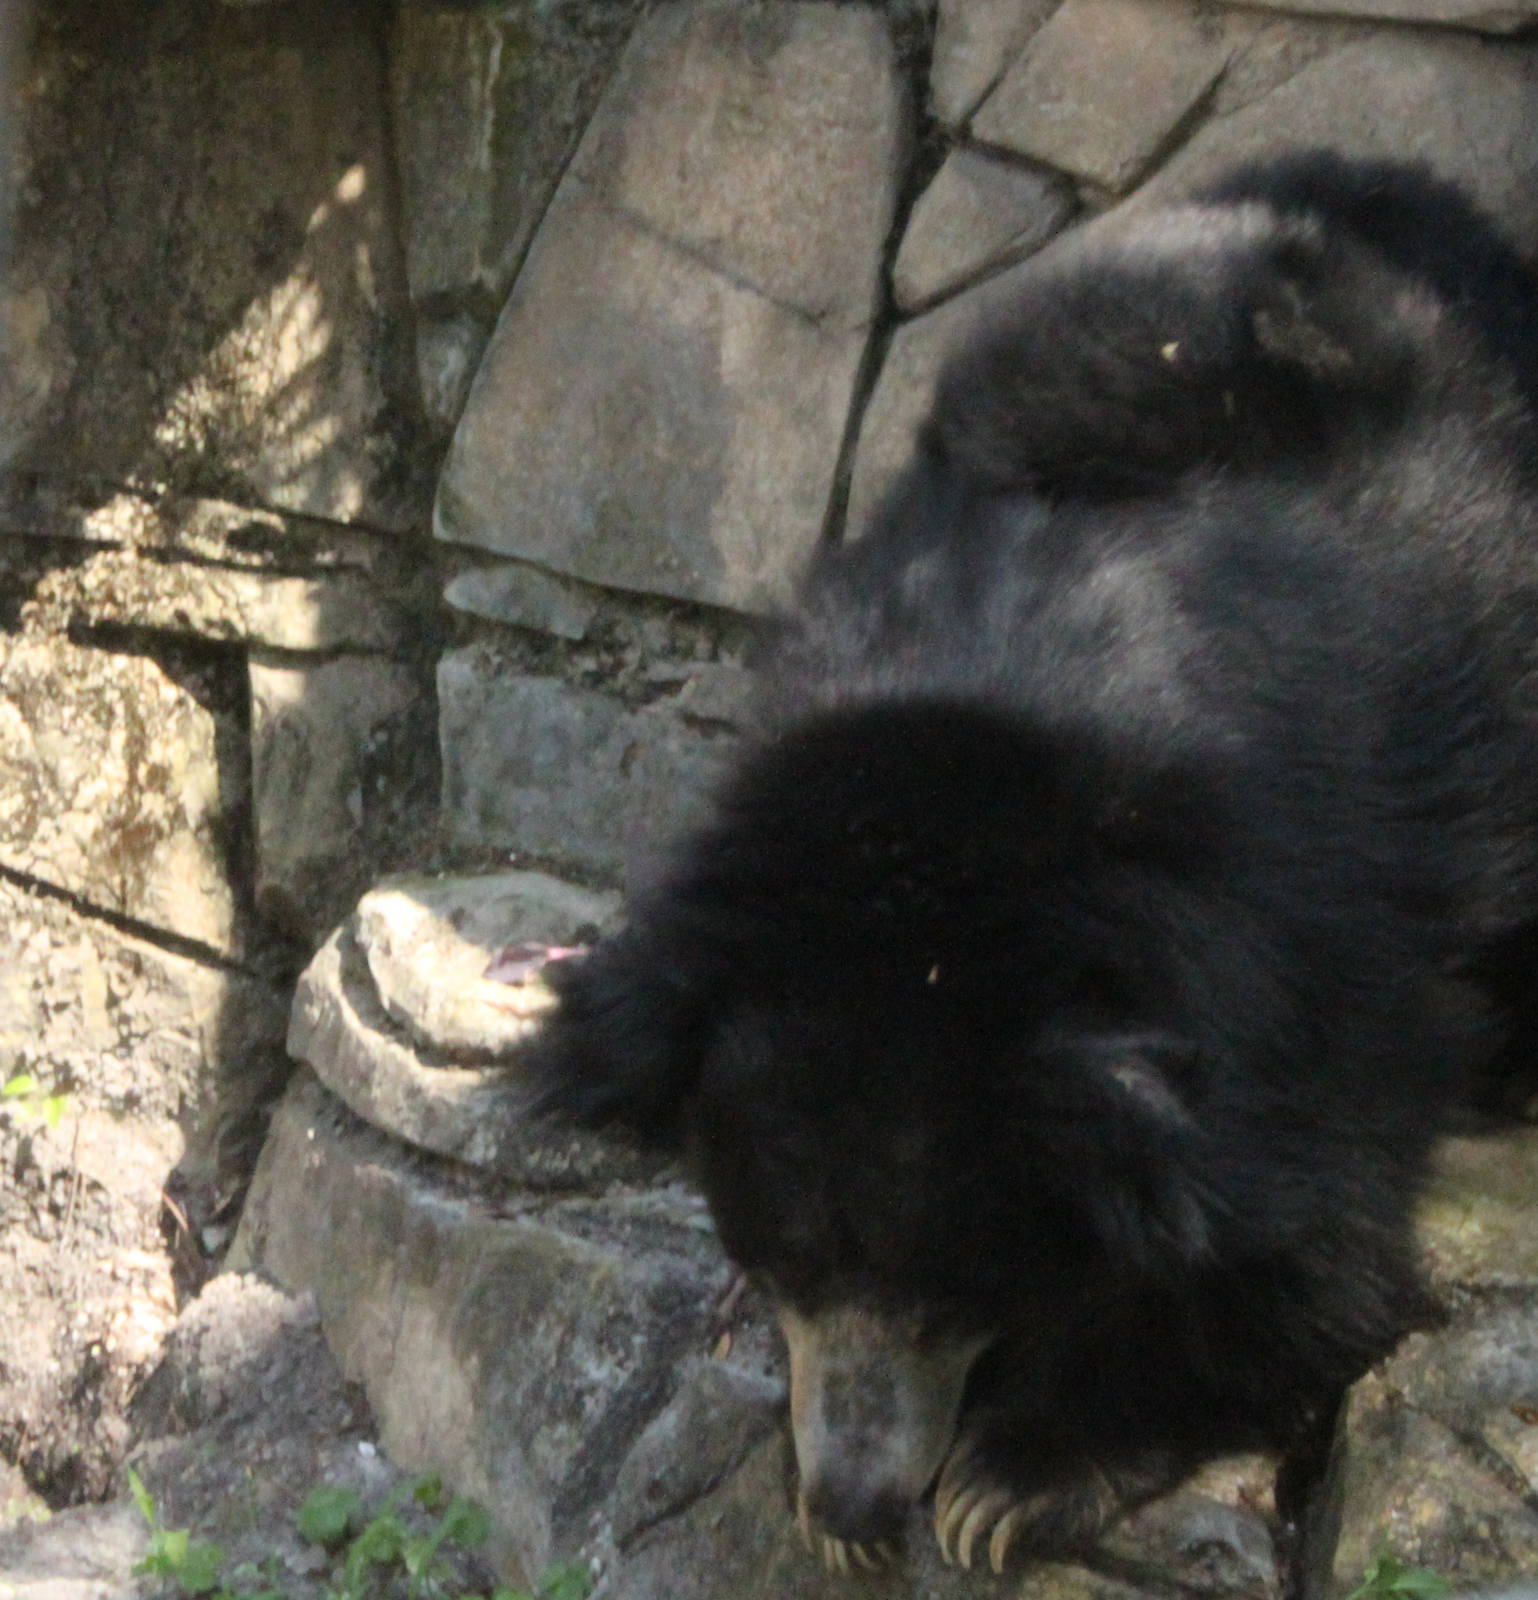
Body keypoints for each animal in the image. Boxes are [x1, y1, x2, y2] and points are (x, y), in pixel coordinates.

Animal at [523, 152, 1538, 1575]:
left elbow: (1304, 1226)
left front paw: (1014, 1475)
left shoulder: (1301, 905)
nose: (853, 1502)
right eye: (782, 1264)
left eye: (949, 1288)